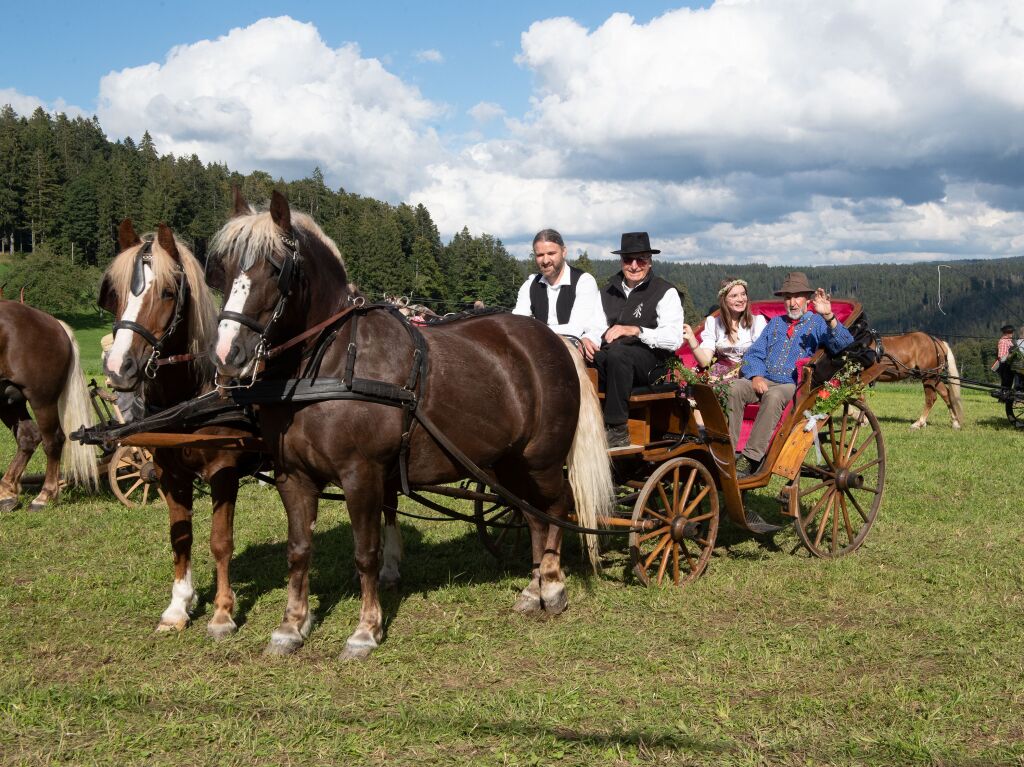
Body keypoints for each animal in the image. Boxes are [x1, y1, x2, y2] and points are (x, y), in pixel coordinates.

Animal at [0, 303, 97, 512]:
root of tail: (54, 323)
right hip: (8, 399)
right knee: (28, 437)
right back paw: (6, 492)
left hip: (42, 400)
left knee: (53, 441)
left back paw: (45, 495)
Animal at [99, 220, 266, 634]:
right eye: (115, 293)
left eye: (167, 292)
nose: (119, 367)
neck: (192, 397)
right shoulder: (168, 472)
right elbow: (181, 537)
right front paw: (178, 606)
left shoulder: (224, 471)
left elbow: (220, 541)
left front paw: (222, 612)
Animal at [203, 190, 610, 659]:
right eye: (222, 268)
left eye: (276, 268)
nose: (227, 354)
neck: (333, 362)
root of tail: (557, 340)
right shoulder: (293, 475)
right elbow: (299, 550)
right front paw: (291, 626)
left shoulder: (361, 474)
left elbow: (366, 552)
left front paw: (365, 630)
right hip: (507, 463)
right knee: (532, 515)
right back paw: (533, 588)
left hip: (541, 460)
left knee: (556, 506)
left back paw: (554, 586)